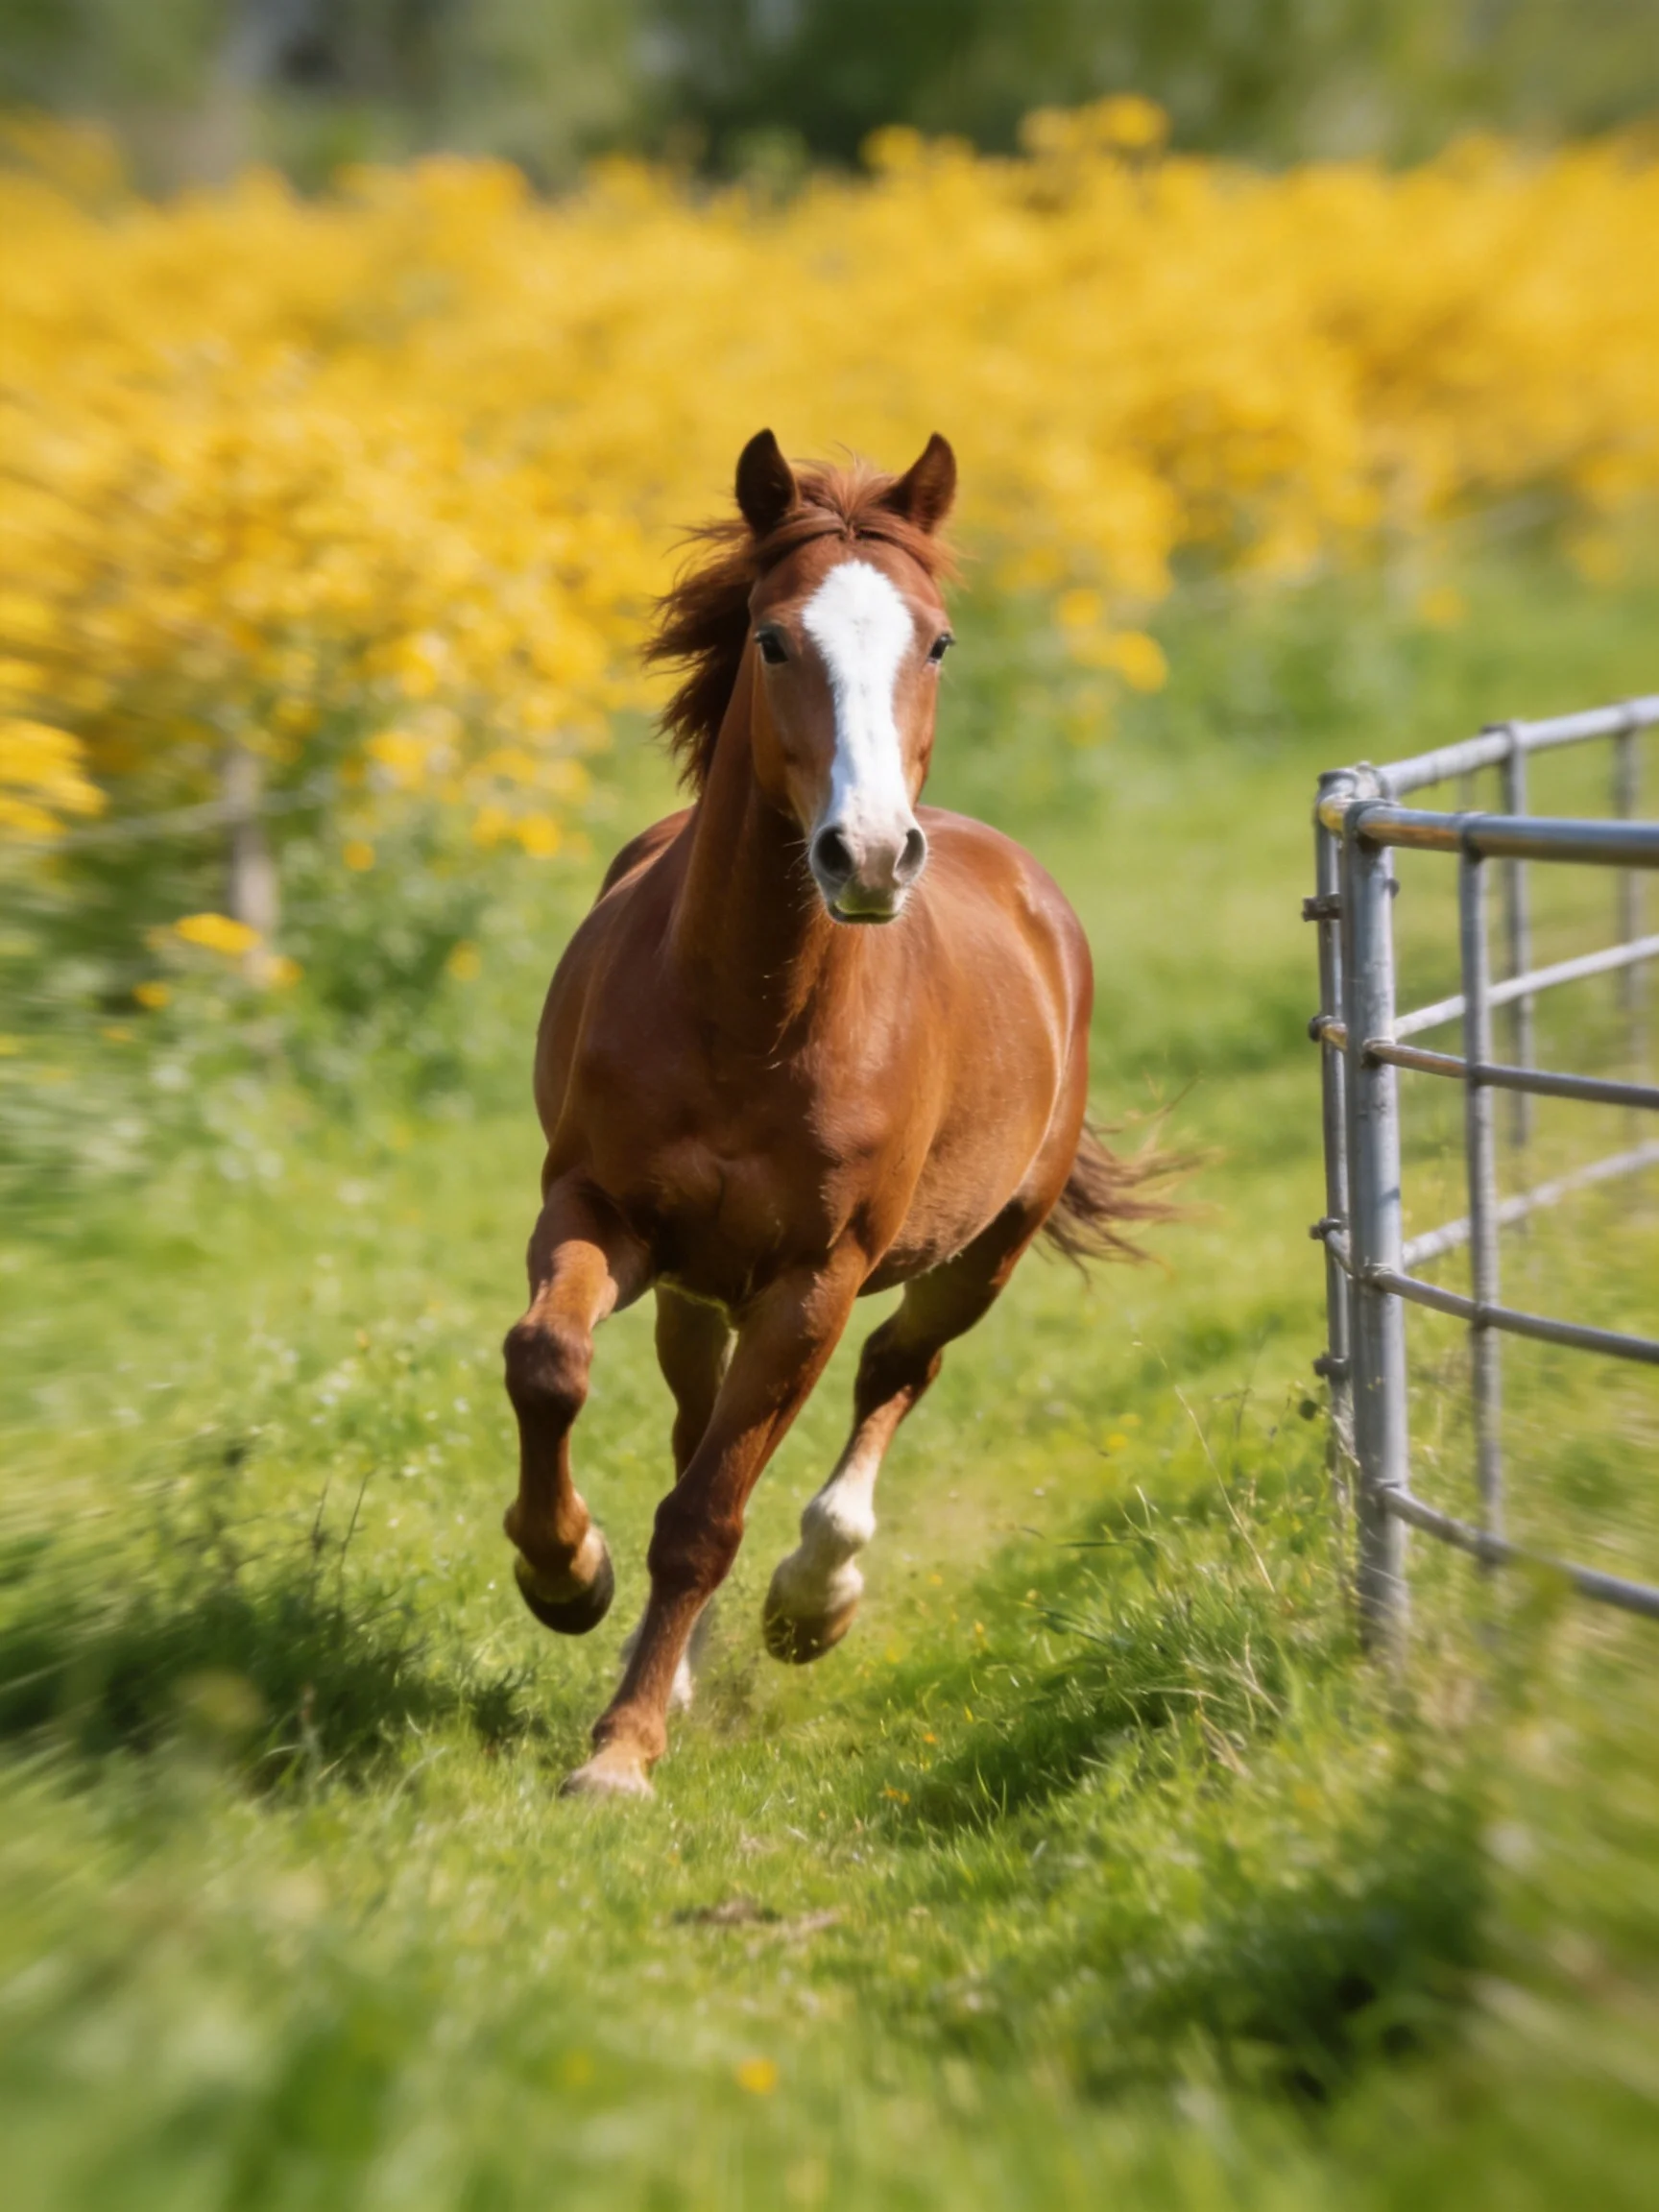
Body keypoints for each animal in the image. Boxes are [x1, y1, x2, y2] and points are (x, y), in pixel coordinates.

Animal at [502, 429, 1165, 1797]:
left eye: (939, 641)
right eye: (772, 639)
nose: (865, 854)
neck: (753, 1018)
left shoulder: (811, 1281)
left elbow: (709, 1517)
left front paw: (621, 1755)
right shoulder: (596, 1210)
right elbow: (549, 1365)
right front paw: (566, 1574)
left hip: (985, 1249)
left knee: (895, 1374)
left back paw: (815, 1597)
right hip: (699, 1289)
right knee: (692, 1416)